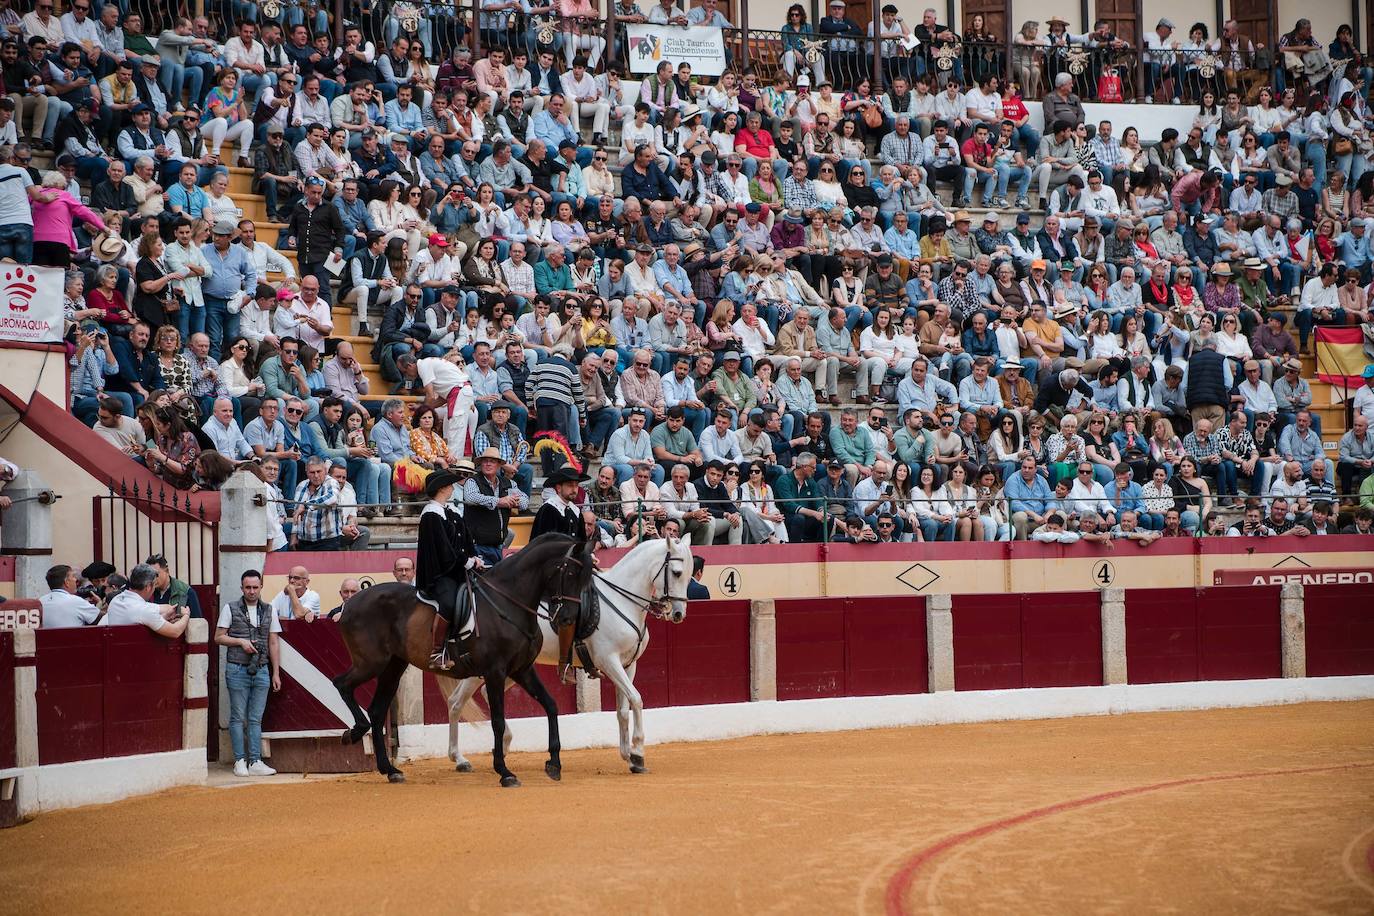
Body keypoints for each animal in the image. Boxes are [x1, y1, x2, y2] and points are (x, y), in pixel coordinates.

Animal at [332, 538, 596, 791]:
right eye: (570, 573)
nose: (567, 619)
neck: (508, 602)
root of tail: (349, 604)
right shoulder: (495, 672)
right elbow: (497, 721)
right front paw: (505, 772)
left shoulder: (522, 670)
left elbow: (551, 705)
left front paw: (554, 764)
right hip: (370, 663)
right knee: (342, 684)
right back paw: (355, 731)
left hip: (393, 667)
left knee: (377, 711)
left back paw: (390, 769)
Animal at [439, 538, 692, 774]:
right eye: (676, 572)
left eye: (689, 574)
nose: (678, 614)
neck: (622, 601)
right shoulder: (608, 661)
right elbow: (637, 699)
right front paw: (638, 753)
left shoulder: (629, 664)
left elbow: (623, 709)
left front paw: (629, 756)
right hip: (486, 667)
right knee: (455, 702)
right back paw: (459, 758)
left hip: (510, 669)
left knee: (477, 694)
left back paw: (500, 745)